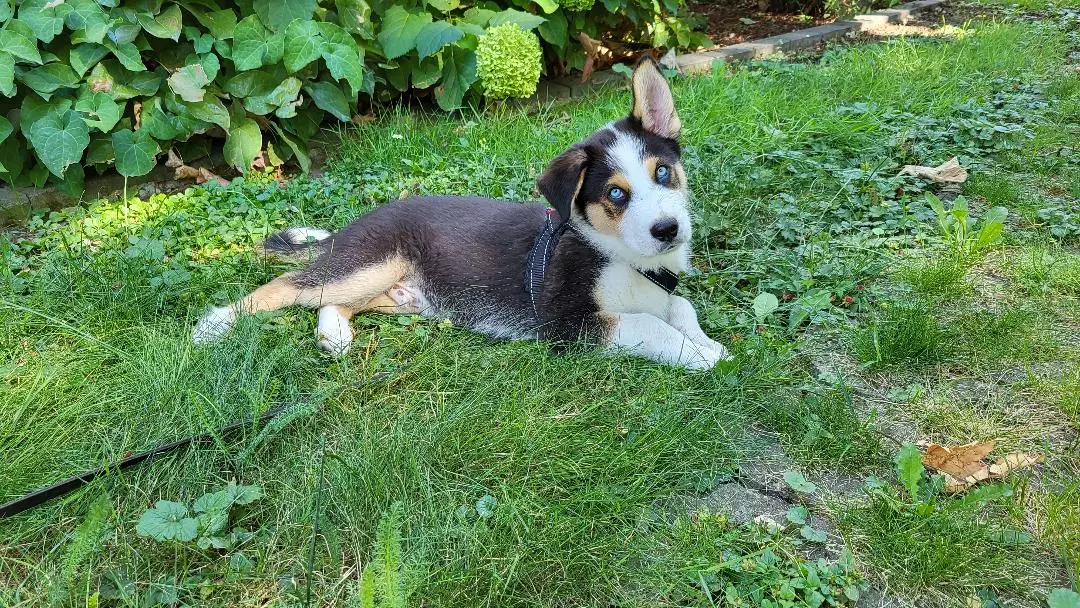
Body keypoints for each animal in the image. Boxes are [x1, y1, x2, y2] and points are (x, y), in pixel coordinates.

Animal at [193, 57, 731, 369]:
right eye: (616, 195)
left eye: (664, 172)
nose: (668, 230)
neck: (620, 256)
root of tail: (358, 223)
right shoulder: (567, 323)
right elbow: (649, 325)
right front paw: (701, 355)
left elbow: (680, 308)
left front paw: (707, 342)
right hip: (368, 262)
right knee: (285, 287)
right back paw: (214, 325)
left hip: (396, 290)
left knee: (330, 300)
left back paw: (335, 337)